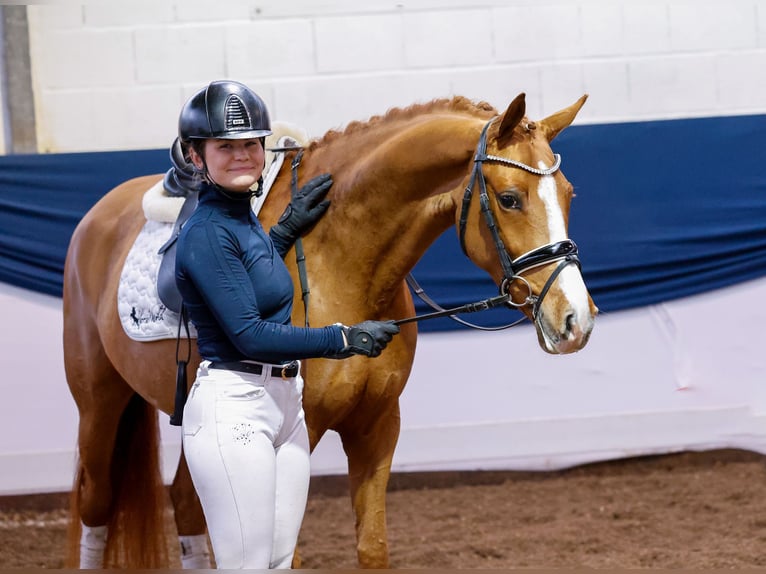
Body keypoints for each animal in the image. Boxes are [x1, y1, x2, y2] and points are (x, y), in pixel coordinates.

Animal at [63, 94, 600, 572]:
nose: (576, 320)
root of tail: (98, 215)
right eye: (509, 199)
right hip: (100, 404)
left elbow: (373, 549)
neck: (339, 258)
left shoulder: (376, 427)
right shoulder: (300, 436)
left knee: (187, 504)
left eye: (570, 195)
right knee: (96, 502)